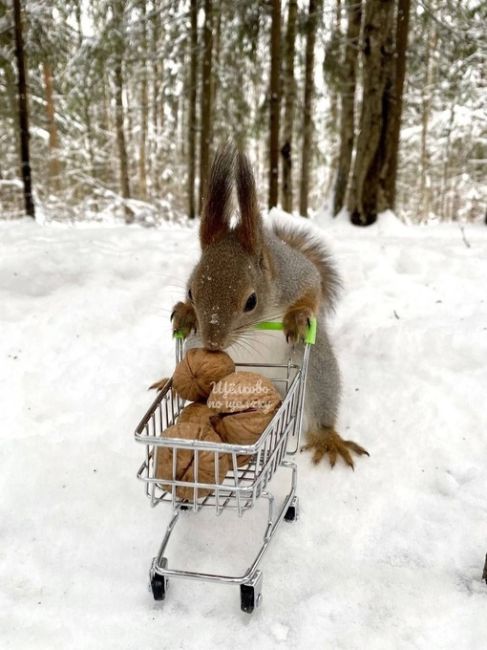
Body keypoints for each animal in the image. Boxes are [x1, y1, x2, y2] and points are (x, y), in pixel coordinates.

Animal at [166, 143, 368, 466]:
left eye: (251, 301)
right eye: (191, 291)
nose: (213, 343)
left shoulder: (295, 275)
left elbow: (313, 286)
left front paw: (297, 317)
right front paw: (185, 313)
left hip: (317, 366)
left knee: (321, 399)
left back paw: (327, 437)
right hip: (192, 348)